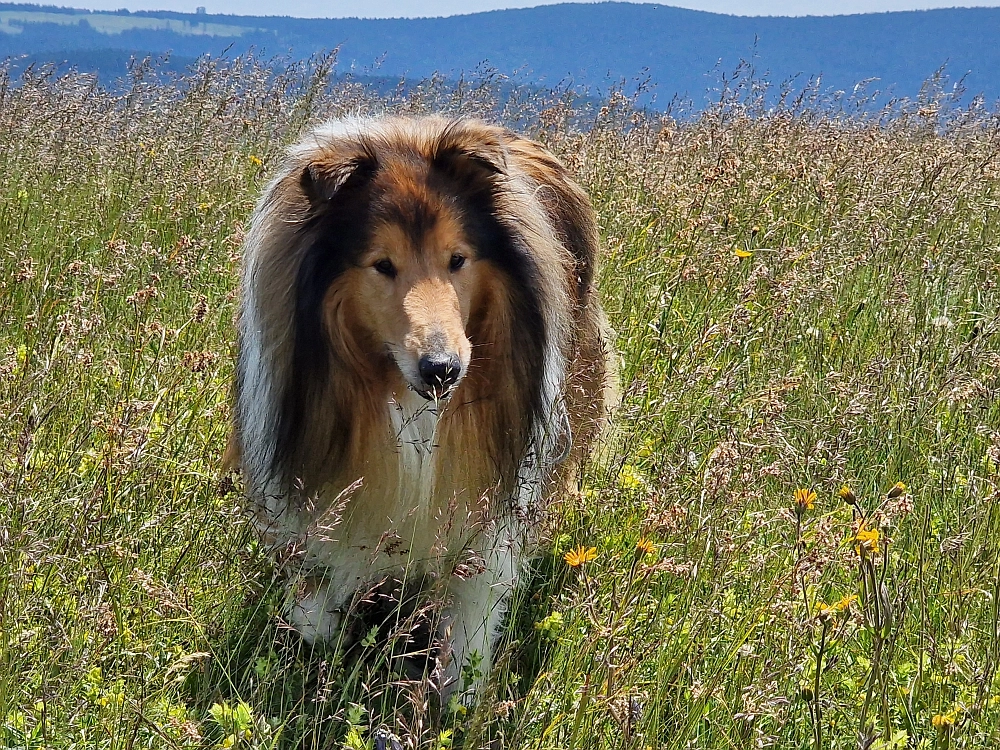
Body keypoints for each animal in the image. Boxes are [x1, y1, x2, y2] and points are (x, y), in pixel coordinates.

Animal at [230, 116, 608, 700]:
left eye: (457, 259)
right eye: (382, 264)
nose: (442, 368)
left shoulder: (490, 506)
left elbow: (474, 610)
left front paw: (458, 697)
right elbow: (314, 604)